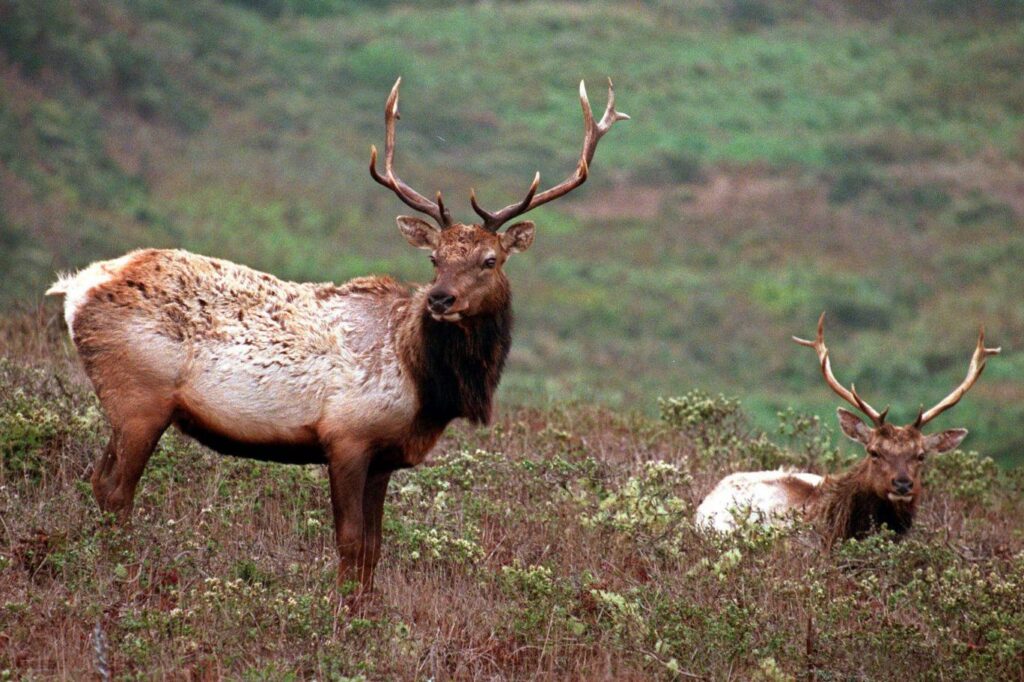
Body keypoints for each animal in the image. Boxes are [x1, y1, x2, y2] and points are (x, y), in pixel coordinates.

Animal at [48, 78, 626, 589]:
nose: (440, 299)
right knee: (115, 489)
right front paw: (341, 622)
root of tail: (77, 287)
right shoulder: (347, 436)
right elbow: (349, 544)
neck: (424, 385)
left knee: (100, 481)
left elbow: (373, 550)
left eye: (489, 260)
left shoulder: (385, 456)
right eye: (435, 259)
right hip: (138, 396)